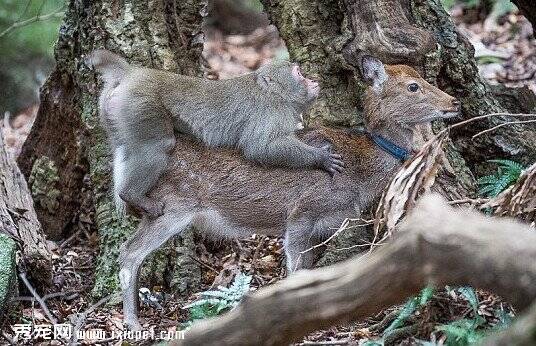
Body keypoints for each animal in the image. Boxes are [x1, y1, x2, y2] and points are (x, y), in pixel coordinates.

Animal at [88, 50, 344, 218]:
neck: (274, 93)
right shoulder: (271, 110)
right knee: (159, 146)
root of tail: (132, 73)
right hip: (140, 104)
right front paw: (320, 158)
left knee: (124, 147)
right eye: (299, 73)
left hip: (115, 110)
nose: (313, 80)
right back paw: (132, 195)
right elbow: (260, 147)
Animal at [117, 55, 460, 328]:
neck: (358, 174)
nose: (453, 102)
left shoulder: (326, 224)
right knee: (129, 252)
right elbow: (294, 271)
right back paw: (132, 322)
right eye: (413, 86)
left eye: (422, 77)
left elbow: (308, 271)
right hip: (172, 206)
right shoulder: (302, 212)